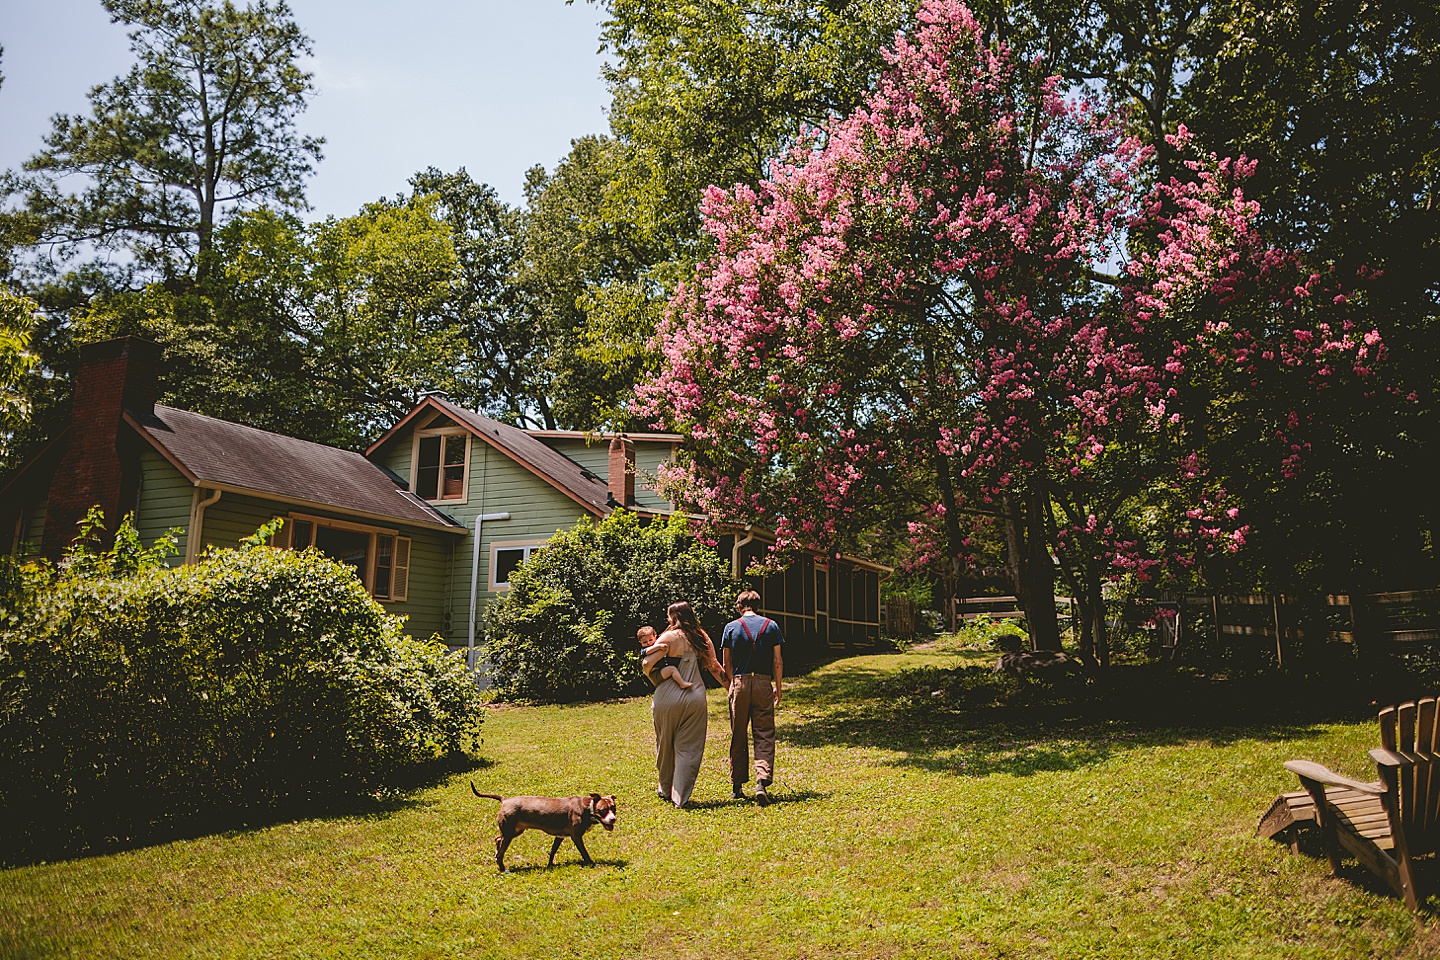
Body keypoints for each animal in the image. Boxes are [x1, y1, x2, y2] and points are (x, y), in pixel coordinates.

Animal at [466, 782, 613, 875]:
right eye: (603, 810)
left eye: (614, 808)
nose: (613, 819)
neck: (589, 808)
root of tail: (505, 800)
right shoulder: (576, 836)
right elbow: (585, 853)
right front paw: (592, 864)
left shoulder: (559, 836)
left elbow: (552, 851)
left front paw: (550, 865)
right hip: (509, 833)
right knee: (501, 852)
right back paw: (504, 869)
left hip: (514, 831)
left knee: (497, 839)